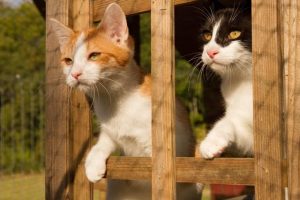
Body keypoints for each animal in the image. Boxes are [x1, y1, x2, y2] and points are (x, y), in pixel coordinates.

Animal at [50, 3, 200, 200]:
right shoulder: (110, 130)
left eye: (94, 55)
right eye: (68, 61)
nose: (75, 74)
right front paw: (93, 162)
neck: (115, 99)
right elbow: (105, 141)